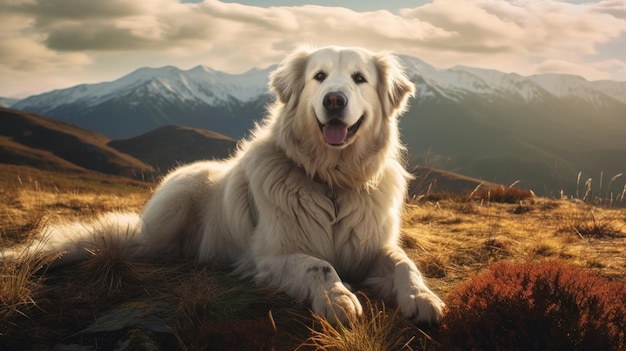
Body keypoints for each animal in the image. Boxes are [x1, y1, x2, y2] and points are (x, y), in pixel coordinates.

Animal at [17, 45, 444, 326]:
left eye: (359, 79)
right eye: (319, 77)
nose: (334, 100)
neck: (332, 182)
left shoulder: (372, 246)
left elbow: (405, 264)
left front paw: (423, 297)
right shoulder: (271, 255)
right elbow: (319, 264)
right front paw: (338, 297)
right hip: (168, 216)